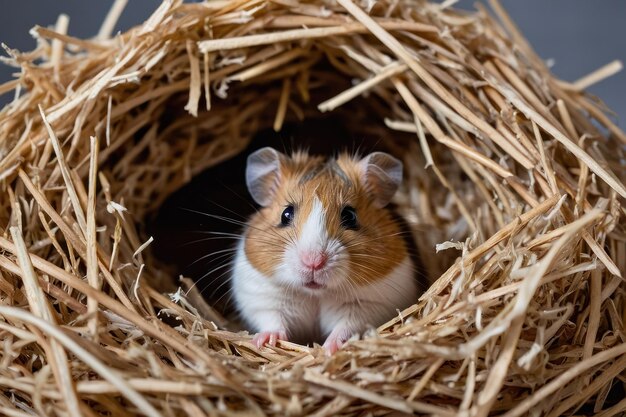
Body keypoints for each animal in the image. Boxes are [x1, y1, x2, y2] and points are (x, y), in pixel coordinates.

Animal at [230, 146, 420, 352]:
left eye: (350, 216)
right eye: (286, 214)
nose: (313, 262)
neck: (315, 294)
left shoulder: (369, 305)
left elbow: (347, 326)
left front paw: (329, 349)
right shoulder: (263, 297)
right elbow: (272, 319)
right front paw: (263, 342)